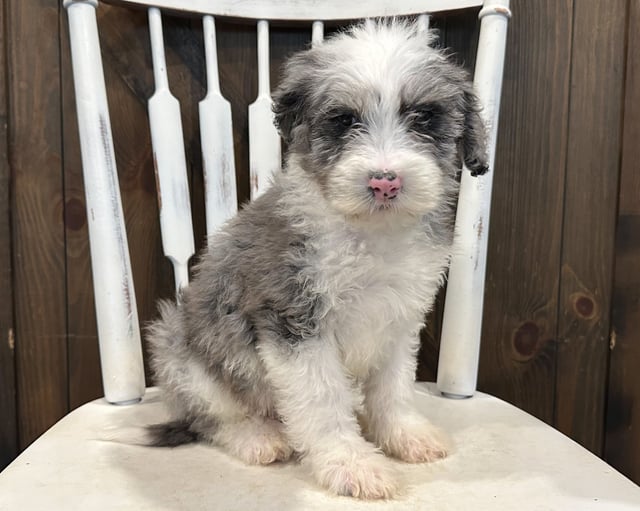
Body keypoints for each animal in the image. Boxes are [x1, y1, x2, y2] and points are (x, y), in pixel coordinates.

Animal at [148, 19, 488, 500]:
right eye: (344, 121)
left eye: (423, 117)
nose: (385, 183)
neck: (369, 234)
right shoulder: (293, 320)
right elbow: (324, 399)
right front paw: (352, 465)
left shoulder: (399, 318)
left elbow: (394, 387)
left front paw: (404, 434)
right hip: (181, 351)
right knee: (211, 417)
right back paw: (258, 437)